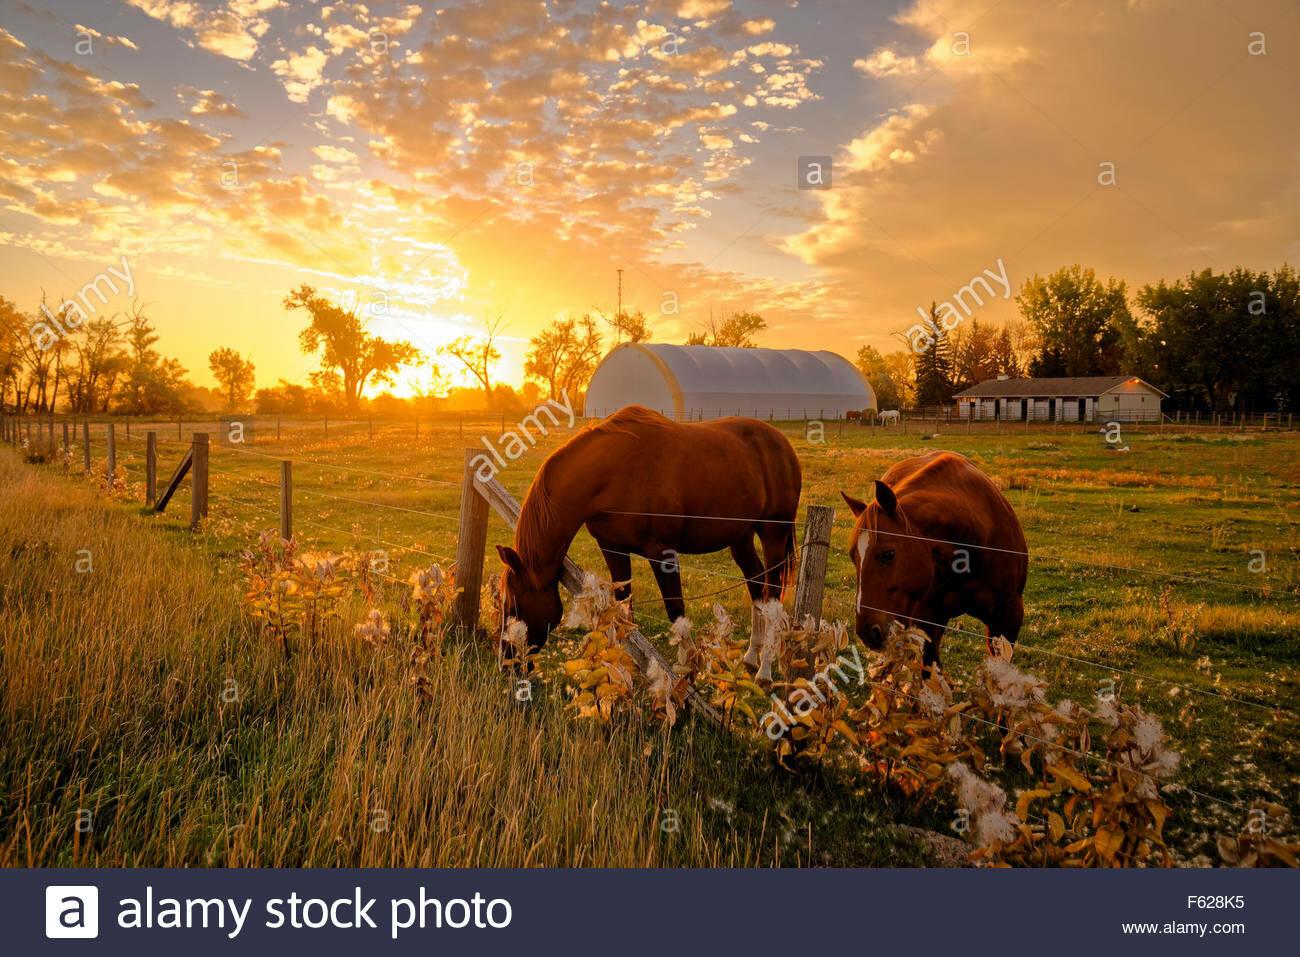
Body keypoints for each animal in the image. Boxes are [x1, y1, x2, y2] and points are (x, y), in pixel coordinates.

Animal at [496, 403, 800, 657]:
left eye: (513, 606)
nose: (505, 660)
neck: (613, 474)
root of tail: (781, 443)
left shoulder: (662, 552)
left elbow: (676, 611)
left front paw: (686, 672)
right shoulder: (612, 548)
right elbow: (623, 608)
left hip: (773, 533)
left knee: (773, 593)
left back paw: (764, 670)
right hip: (741, 537)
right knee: (756, 583)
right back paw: (750, 657)